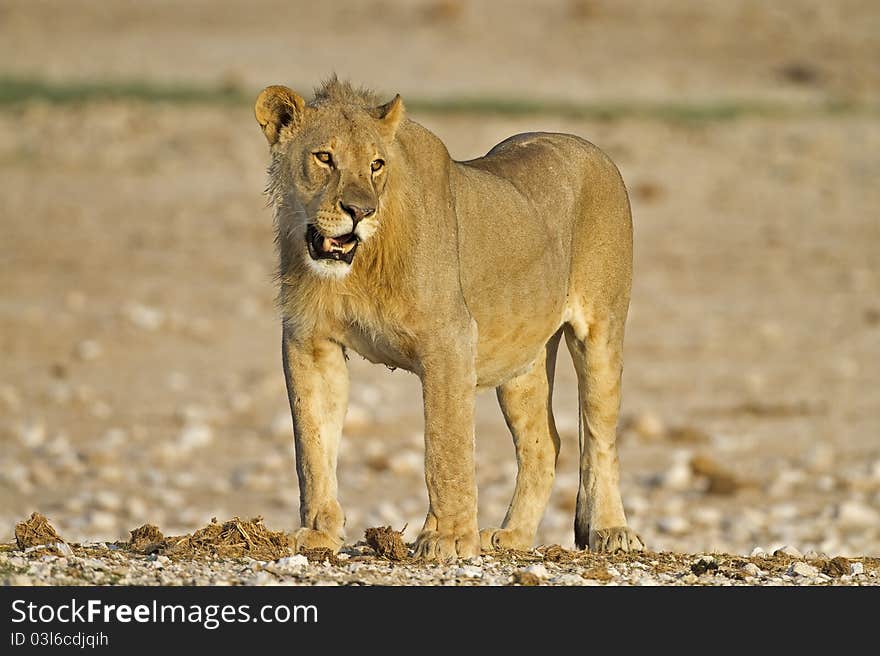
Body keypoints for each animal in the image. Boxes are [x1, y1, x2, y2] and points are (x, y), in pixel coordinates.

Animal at [251, 75, 644, 560]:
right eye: (325, 157)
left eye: (376, 165)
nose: (360, 212)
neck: (356, 269)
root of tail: (588, 145)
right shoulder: (309, 341)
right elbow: (312, 443)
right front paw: (318, 533)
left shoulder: (450, 340)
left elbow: (445, 446)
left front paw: (448, 538)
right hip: (521, 362)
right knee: (543, 444)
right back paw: (511, 536)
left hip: (601, 329)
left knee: (600, 439)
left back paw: (612, 530)